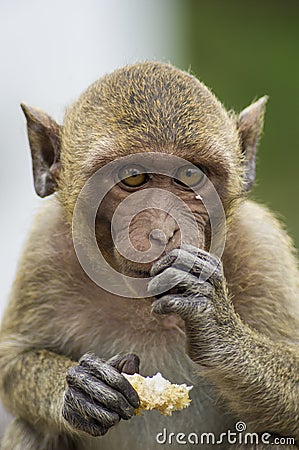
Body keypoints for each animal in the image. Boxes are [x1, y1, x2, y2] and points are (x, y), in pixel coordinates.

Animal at [0, 60, 298, 450]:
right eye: (133, 177)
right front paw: (81, 392)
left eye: (190, 175)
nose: (162, 230)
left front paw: (213, 320)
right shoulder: (43, 249)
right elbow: (11, 360)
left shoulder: (262, 249)